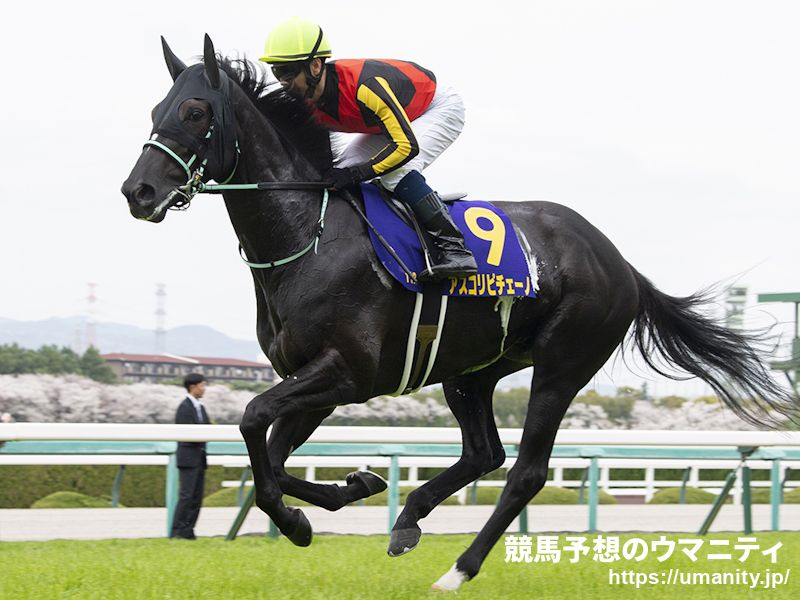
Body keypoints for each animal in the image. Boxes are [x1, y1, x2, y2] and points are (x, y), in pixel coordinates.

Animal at [121, 35, 797, 591]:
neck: (308, 234)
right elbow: (275, 456)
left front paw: (302, 521)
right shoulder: (317, 380)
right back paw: (409, 519)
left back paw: (459, 569)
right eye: (155, 112)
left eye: (195, 112)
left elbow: (254, 422)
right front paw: (348, 491)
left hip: (563, 361)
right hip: (473, 369)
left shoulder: (346, 373)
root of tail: (620, 262)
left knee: (524, 471)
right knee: (484, 454)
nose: (138, 192)